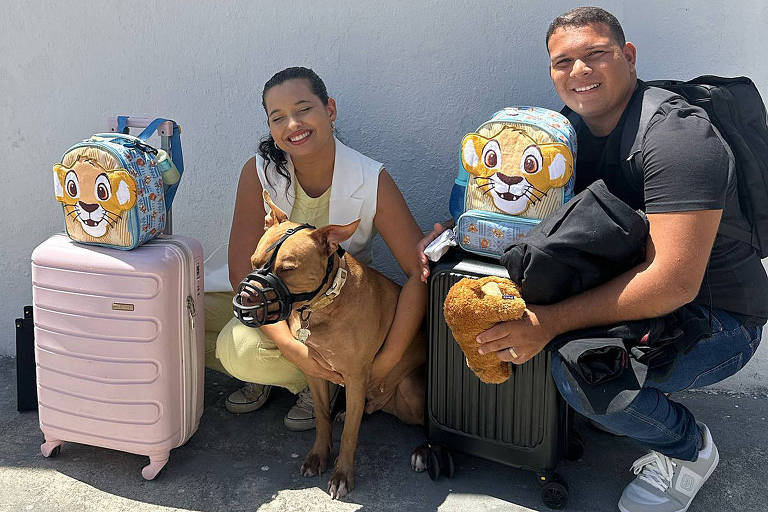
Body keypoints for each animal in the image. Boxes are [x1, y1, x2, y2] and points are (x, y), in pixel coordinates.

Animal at [243, 190, 426, 498]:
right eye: (254, 261)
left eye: (287, 269)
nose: (246, 297)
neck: (323, 304)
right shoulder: (314, 372)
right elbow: (322, 417)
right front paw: (318, 456)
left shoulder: (356, 376)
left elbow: (351, 435)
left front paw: (342, 474)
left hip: (412, 391)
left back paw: (424, 451)